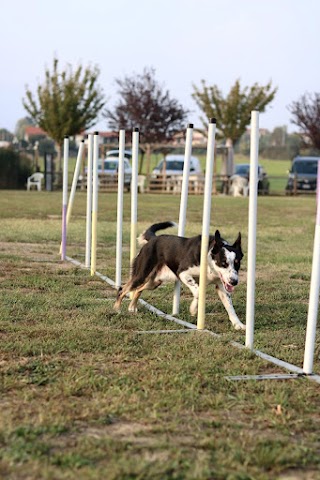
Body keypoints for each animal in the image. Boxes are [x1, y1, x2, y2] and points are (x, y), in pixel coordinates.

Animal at [114, 221, 246, 330]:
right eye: (223, 263)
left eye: (237, 263)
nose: (234, 282)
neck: (208, 257)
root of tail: (153, 239)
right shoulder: (183, 273)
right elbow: (198, 292)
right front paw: (193, 309)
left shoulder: (222, 285)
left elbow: (229, 306)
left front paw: (238, 324)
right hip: (142, 274)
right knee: (123, 289)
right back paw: (117, 309)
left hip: (155, 282)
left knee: (138, 290)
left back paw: (132, 307)